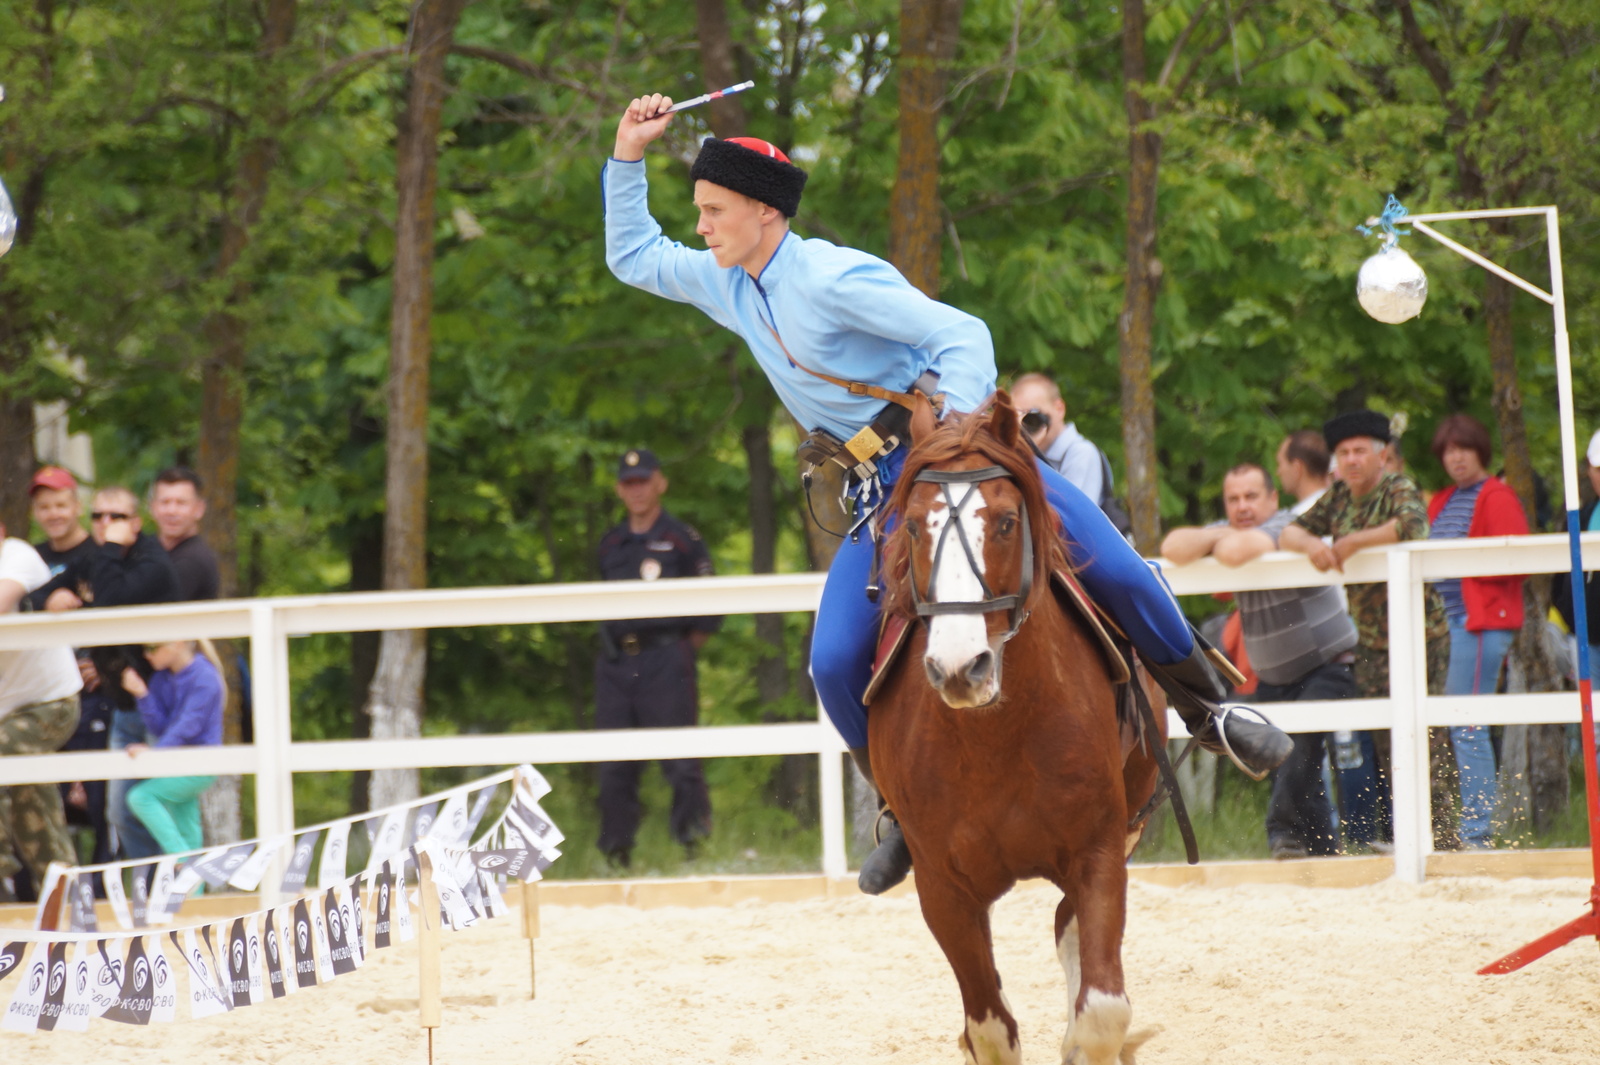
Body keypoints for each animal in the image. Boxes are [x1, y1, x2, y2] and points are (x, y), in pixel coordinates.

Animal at [876, 390, 1164, 1061]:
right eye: (911, 525)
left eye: (1006, 522)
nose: (960, 668)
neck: (994, 737)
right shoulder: (943, 888)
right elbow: (989, 1028)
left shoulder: (1099, 850)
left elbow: (1101, 1014)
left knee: (1067, 930)